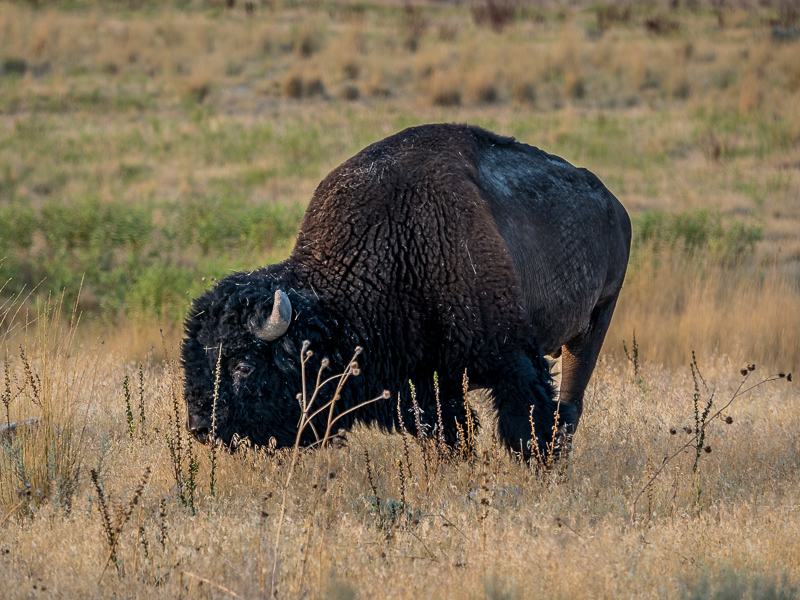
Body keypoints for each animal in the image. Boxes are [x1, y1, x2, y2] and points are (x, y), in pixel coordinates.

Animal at [181, 123, 632, 460]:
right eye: (195, 359)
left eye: (243, 365)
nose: (201, 425)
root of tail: (615, 206)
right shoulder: (426, 383)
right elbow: (451, 431)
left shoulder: (514, 358)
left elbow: (527, 424)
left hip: (596, 321)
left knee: (569, 406)